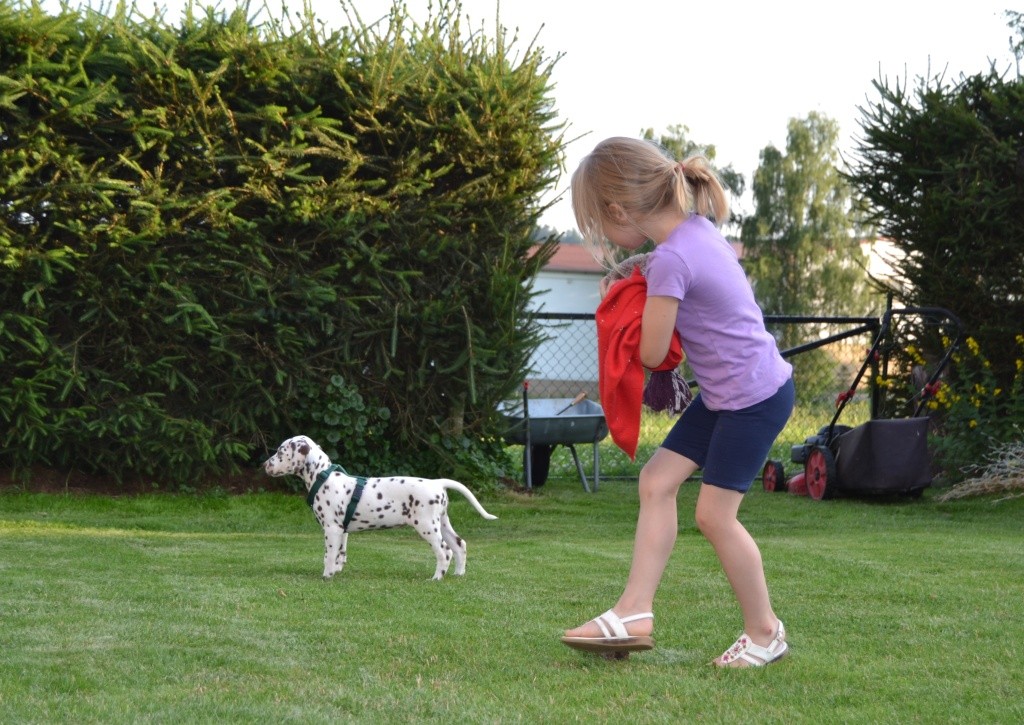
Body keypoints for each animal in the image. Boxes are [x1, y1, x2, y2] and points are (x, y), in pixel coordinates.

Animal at [262, 434, 497, 581]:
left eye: (280, 452)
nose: (264, 465)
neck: (323, 477)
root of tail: (437, 483)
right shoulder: (342, 530)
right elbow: (341, 554)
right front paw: (337, 571)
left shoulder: (331, 529)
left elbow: (328, 555)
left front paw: (326, 575)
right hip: (442, 523)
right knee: (460, 545)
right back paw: (458, 574)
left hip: (427, 526)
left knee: (444, 552)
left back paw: (437, 577)